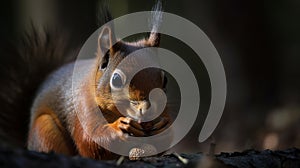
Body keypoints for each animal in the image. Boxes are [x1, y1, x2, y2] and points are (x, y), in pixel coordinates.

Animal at [0, 1, 172, 159]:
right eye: (116, 79)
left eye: (165, 80)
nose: (148, 109)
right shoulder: (83, 106)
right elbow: (91, 140)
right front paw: (119, 127)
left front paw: (164, 127)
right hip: (44, 129)